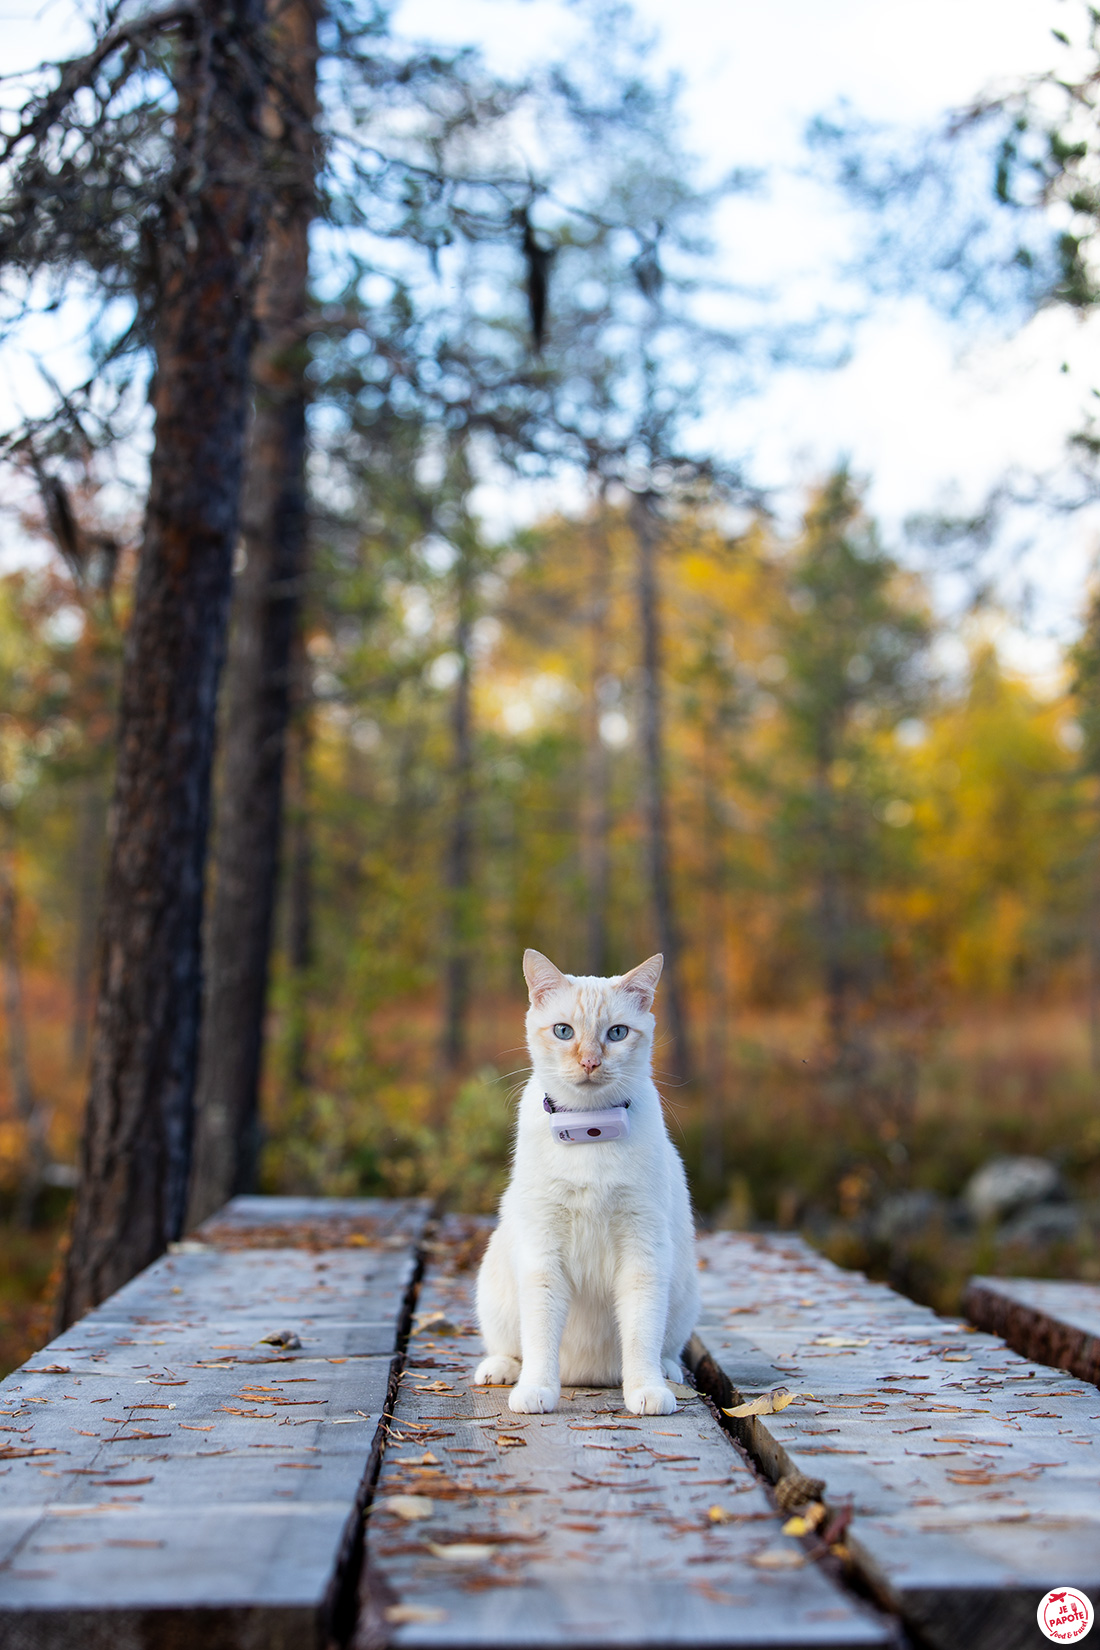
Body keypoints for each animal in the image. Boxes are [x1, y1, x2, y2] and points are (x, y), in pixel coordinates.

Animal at [474, 957, 695, 1419]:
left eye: (617, 1033)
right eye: (564, 1031)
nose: (590, 1062)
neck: (589, 1128)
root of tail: (586, 1376)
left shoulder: (643, 1250)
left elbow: (641, 1333)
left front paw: (646, 1390)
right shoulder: (543, 1252)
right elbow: (541, 1336)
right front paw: (537, 1391)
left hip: (683, 1291)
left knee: (665, 1348)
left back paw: (668, 1373)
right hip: (494, 1284)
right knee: (512, 1347)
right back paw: (501, 1370)